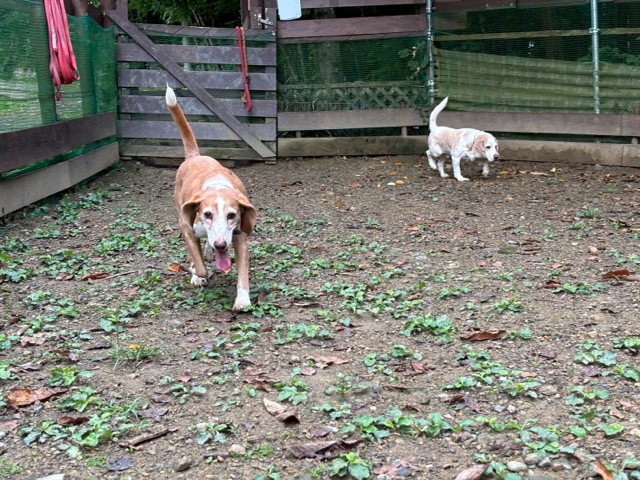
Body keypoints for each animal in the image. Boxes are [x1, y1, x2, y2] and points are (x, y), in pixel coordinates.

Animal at [166, 86, 256, 311]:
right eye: (207, 214)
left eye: (232, 215)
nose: (221, 245)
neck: (218, 187)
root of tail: (194, 156)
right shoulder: (187, 229)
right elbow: (200, 266)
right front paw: (196, 273)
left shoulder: (240, 237)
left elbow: (242, 273)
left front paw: (242, 300)